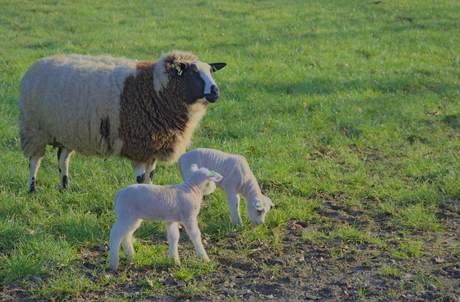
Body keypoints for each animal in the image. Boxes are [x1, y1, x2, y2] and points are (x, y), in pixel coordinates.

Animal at [18, 49, 226, 191]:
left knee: (62, 160)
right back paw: (32, 189)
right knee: (35, 160)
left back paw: (65, 188)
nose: (215, 92)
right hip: (34, 128)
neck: (156, 89)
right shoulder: (138, 145)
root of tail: (38, 63)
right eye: (192, 73)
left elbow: (150, 177)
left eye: (211, 72)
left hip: (66, 130)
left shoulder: (153, 145)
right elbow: (141, 180)